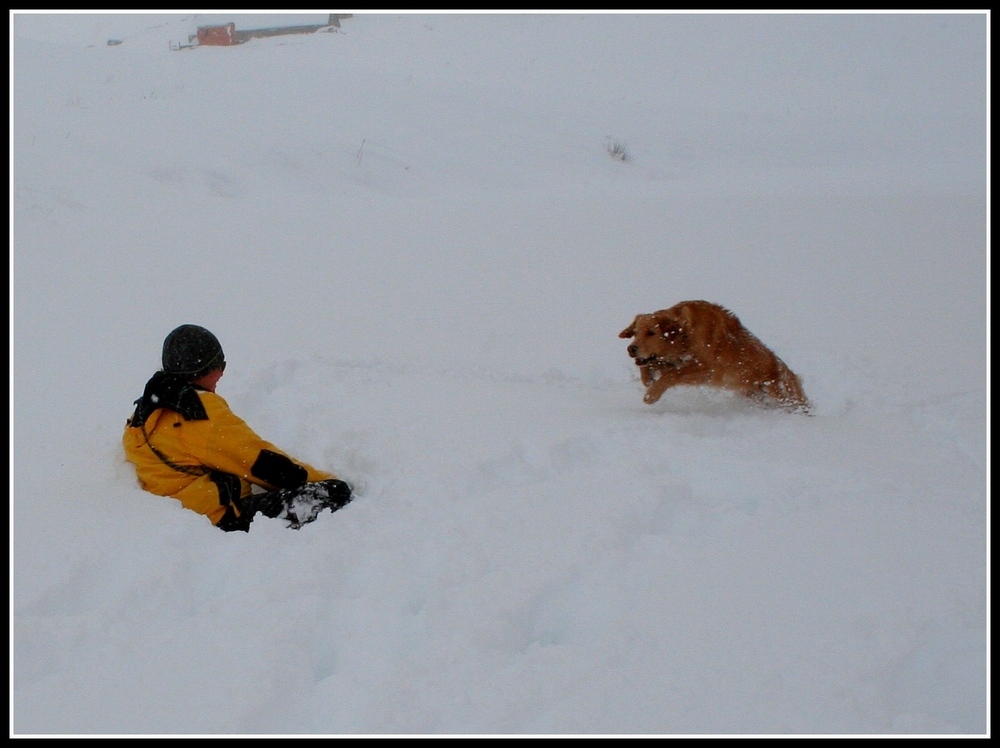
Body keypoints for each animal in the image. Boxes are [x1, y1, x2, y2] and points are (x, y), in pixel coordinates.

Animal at [620, 300, 808, 412]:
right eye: (635, 332)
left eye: (651, 333)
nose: (631, 349)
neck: (686, 333)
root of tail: (790, 374)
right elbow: (653, 366)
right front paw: (648, 379)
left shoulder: (707, 369)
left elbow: (672, 375)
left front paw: (652, 394)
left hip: (780, 395)